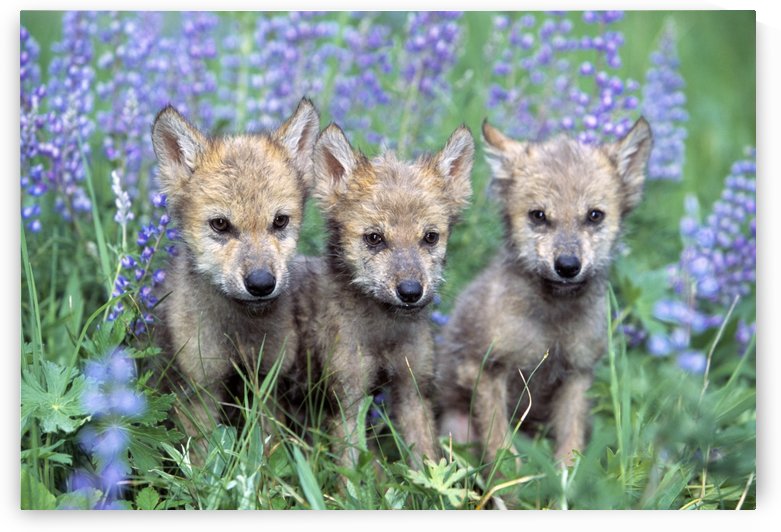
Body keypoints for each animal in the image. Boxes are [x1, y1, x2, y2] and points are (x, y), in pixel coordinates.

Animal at [150, 98, 320, 456]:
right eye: (220, 224)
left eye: (280, 221)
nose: (260, 284)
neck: (241, 335)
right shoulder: (202, 388)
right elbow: (204, 456)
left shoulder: (266, 382)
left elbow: (266, 451)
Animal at [308, 123, 474, 467]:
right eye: (374, 238)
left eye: (430, 237)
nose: (410, 292)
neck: (384, 333)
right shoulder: (348, 400)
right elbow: (353, 469)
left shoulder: (413, 392)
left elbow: (426, 462)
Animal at [435, 118, 652, 467]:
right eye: (538, 216)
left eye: (594, 215)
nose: (567, 266)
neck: (553, 323)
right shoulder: (485, 370)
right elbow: (502, 452)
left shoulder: (577, 376)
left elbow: (570, 448)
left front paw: (565, 479)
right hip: (456, 429)